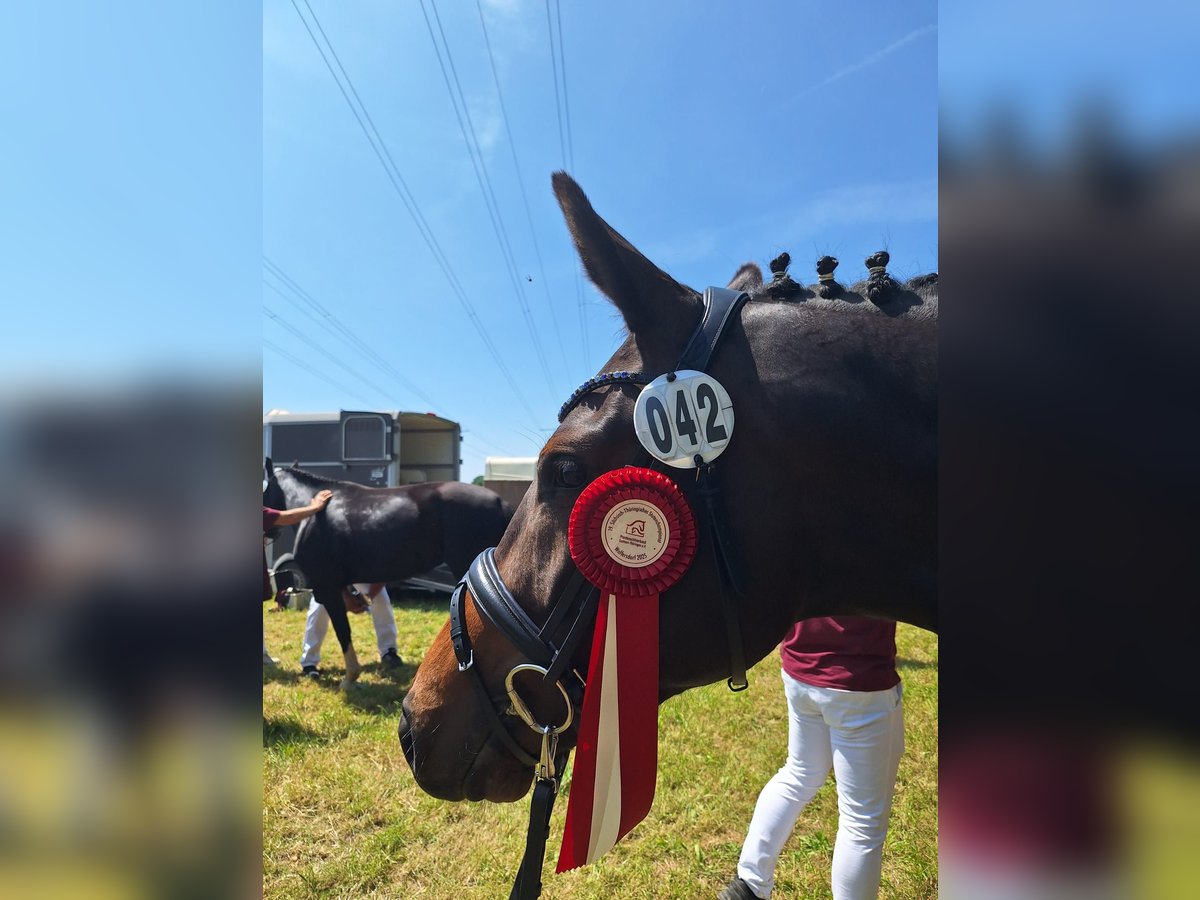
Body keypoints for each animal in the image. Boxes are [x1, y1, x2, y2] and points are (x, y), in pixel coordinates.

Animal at [263, 461, 514, 689]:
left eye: (264, 488)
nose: (269, 531)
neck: (314, 513)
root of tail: (501, 502)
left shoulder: (327, 586)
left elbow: (342, 631)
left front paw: (350, 678)